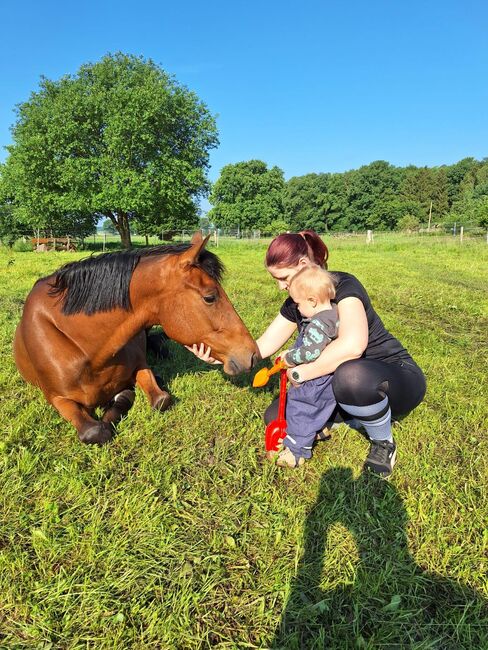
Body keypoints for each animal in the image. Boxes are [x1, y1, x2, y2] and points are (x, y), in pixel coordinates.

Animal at [14, 232, 260, 440]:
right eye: (210, 297)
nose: (253, 355)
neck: (87, 349)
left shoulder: (140, 366)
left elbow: (160, 399)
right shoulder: (56, 398)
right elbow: (95, 432)